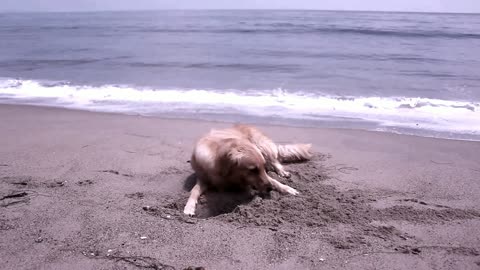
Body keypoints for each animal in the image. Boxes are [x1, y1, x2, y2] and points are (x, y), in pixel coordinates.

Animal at [183, 125, 312, 216]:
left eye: (261, 167)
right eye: (252, 170)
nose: (270, 189)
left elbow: (274, 180)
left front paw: (288, 189)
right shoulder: (204, 178)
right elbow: (194, 190)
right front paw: (189, 207)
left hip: (262, 145)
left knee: (274, 160)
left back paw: (282, 172)